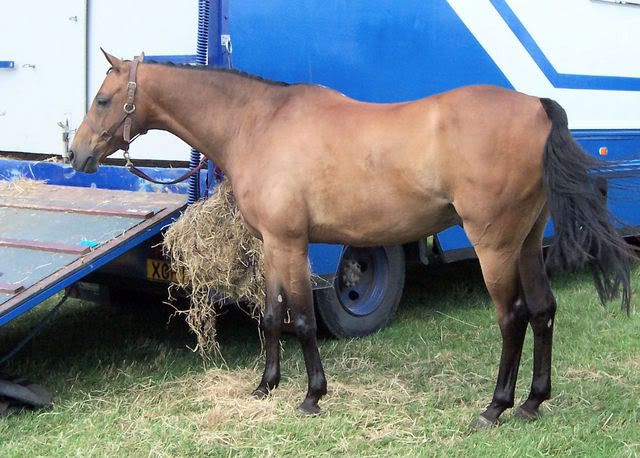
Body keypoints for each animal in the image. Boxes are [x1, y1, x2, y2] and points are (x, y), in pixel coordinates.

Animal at [71, 50, 636, 426]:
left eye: (102, 99)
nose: (76, 154)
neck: (259, 123)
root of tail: (536, 107)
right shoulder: (271, 245)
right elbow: (272, 317)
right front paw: (264, 387)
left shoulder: (291, 243)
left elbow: (301, 319)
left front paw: (312, 396)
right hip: (526, 243)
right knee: (543, 311)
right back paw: (533, 402)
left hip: (494, 246)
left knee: (513, 317)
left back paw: (495, 407)